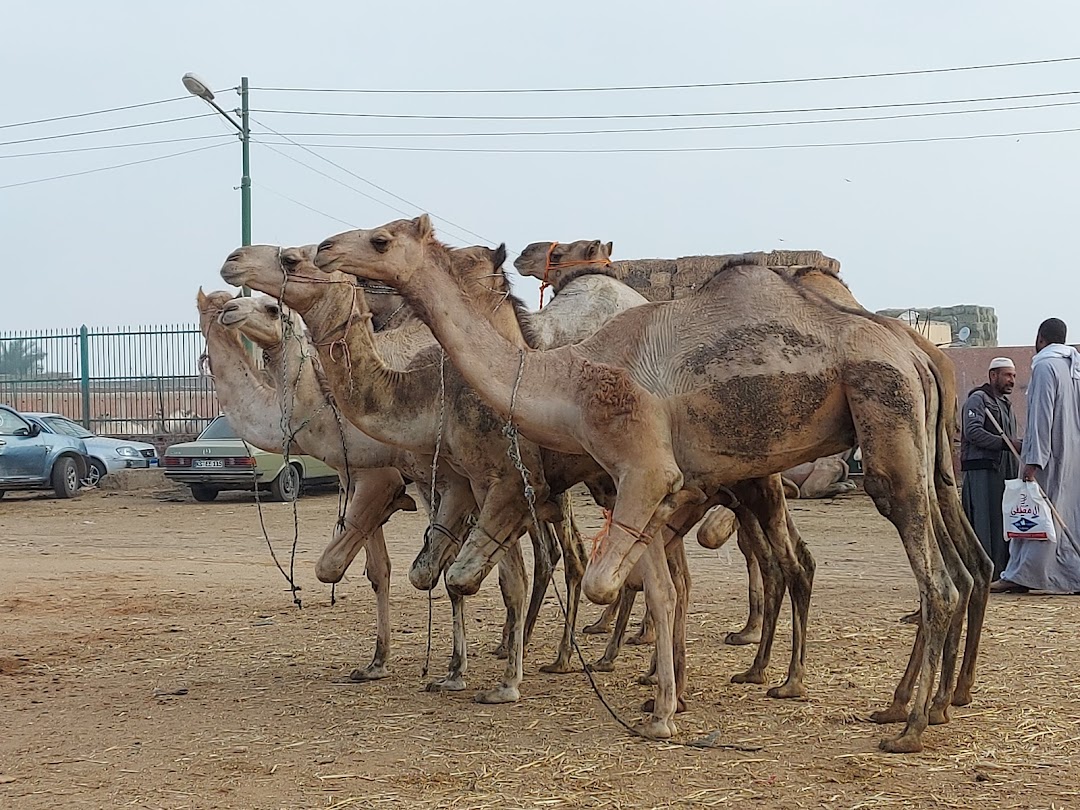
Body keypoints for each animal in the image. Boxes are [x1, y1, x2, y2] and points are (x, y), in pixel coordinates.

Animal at [311, 217, 972, 756]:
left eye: (380, 240)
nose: (321, 248)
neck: (567, 378)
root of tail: (918, 355)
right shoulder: (649, 487)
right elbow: (660, 588)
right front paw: (661, 711)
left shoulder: (643, 467)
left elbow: (606, 582)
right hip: (923, 454)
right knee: (951, 568)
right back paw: (917, 705)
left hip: (886, 417)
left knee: (933, 578)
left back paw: (907, 727)